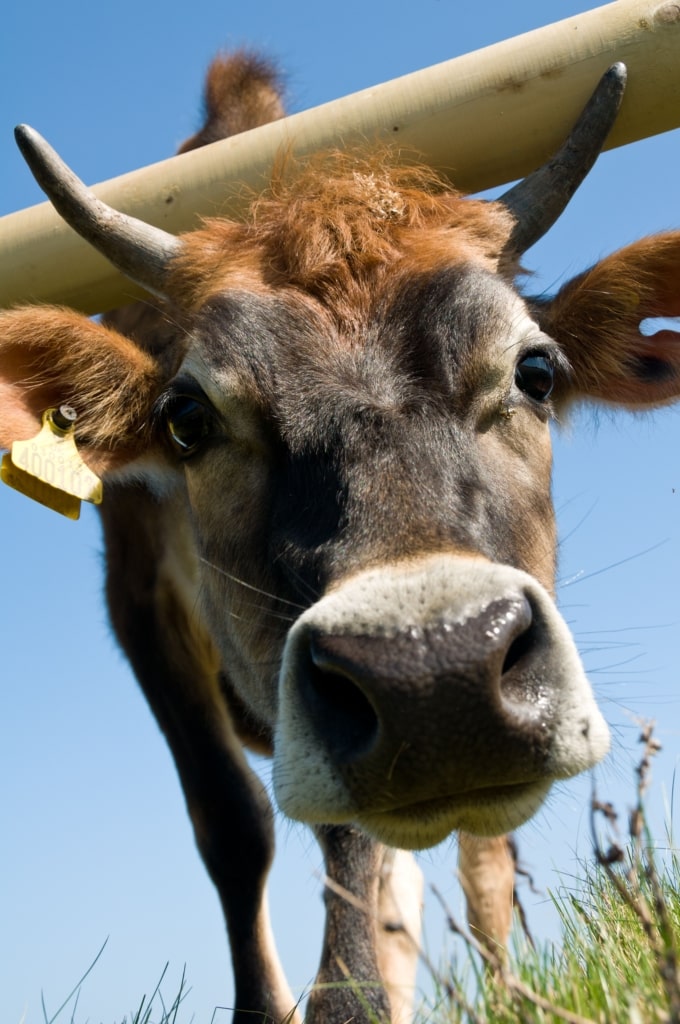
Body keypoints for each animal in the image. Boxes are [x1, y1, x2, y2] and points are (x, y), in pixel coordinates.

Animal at [1, 54, 680, 1024]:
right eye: (187, 419)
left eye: (537, 370)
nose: (435, 672)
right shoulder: (136, 597)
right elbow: (233, 822)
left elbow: (381, 845)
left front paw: (353, 1000)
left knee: (480, 868)